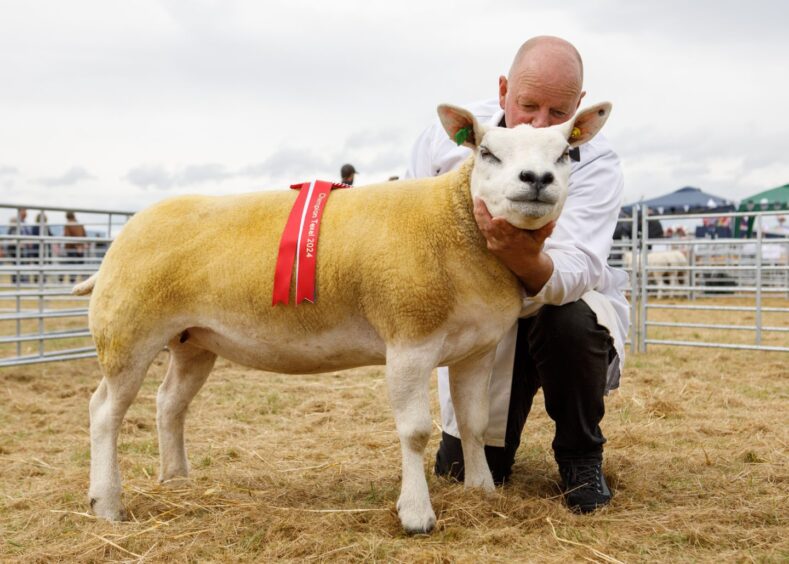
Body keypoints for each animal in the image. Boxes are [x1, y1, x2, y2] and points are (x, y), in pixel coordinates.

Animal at [74, 100, 612, 532]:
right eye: (488, 153)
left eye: (565, 154)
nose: (537, 180)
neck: (455, 222)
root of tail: (125, 234)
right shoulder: (408, 340)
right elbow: (415, 432)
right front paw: (416, 514)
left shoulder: (477, 348)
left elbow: (476, 424)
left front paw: (481, 491)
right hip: (126, 333)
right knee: (104, 411)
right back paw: (108, 503)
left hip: (194, 340)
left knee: (169, 404)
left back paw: (177, 481)